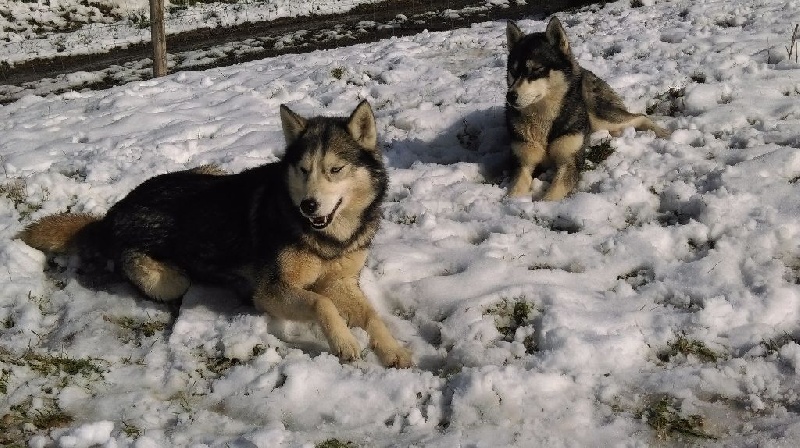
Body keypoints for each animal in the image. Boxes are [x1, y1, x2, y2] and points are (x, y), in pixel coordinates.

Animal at [18, 100, 412, 368]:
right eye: (303, 170)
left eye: (335, 169)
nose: (309, 206)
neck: (330, 239)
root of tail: (113, 211)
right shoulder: (271, 290)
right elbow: (321, 303)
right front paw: (345, 342)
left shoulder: (342, 281)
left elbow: (371, 315)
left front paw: (393, 350)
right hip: (168, 279)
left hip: (213, 171)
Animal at [506, 17, 668, 200]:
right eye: (513, 71)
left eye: (536, 69)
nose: (510, 96)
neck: (543, 118)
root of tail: (584, 70)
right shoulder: (522, 163)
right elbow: (514, 191)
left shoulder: (570, 162)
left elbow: (552, 196)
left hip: (601, 116)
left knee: (640, 116)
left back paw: (663, 132)